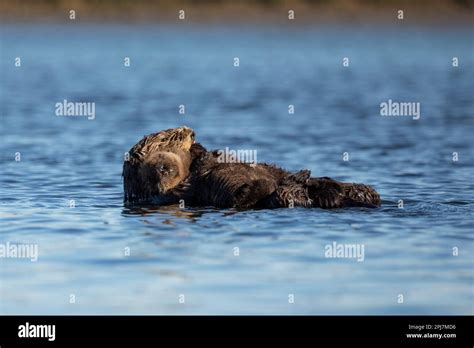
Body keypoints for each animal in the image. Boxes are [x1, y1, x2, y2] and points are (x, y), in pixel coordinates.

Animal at [122, 128, 382, 209]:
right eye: (174, 135)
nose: (192, 132)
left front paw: (202, 149)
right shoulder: (184, 191)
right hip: (282, 196)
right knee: (276, 192)